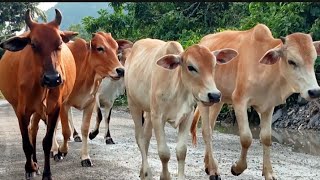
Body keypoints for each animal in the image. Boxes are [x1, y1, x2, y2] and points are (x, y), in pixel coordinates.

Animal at [0, 9, 77, 180]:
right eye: (34, 45)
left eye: (59, 43)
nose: (53, 78)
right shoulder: (22, 111)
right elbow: (26, 144)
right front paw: (30, 168)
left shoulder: (54, 109)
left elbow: (47, 142)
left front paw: (47, 174)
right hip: (20, 108)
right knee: (31, 132)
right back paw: (33, 163)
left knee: (34, 130)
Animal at [189, 23, 320, 179]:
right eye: (291, 61)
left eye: (314, 60)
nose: (314, 91)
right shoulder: (239, 100)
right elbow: (246, 138)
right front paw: (237, 168)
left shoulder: (268, 106)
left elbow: (266, 138)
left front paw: (269, 173)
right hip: (203, 101)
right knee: (206, 131)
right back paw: (214, 170)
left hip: (217, 101)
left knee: (211, 127)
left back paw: (208, 165)